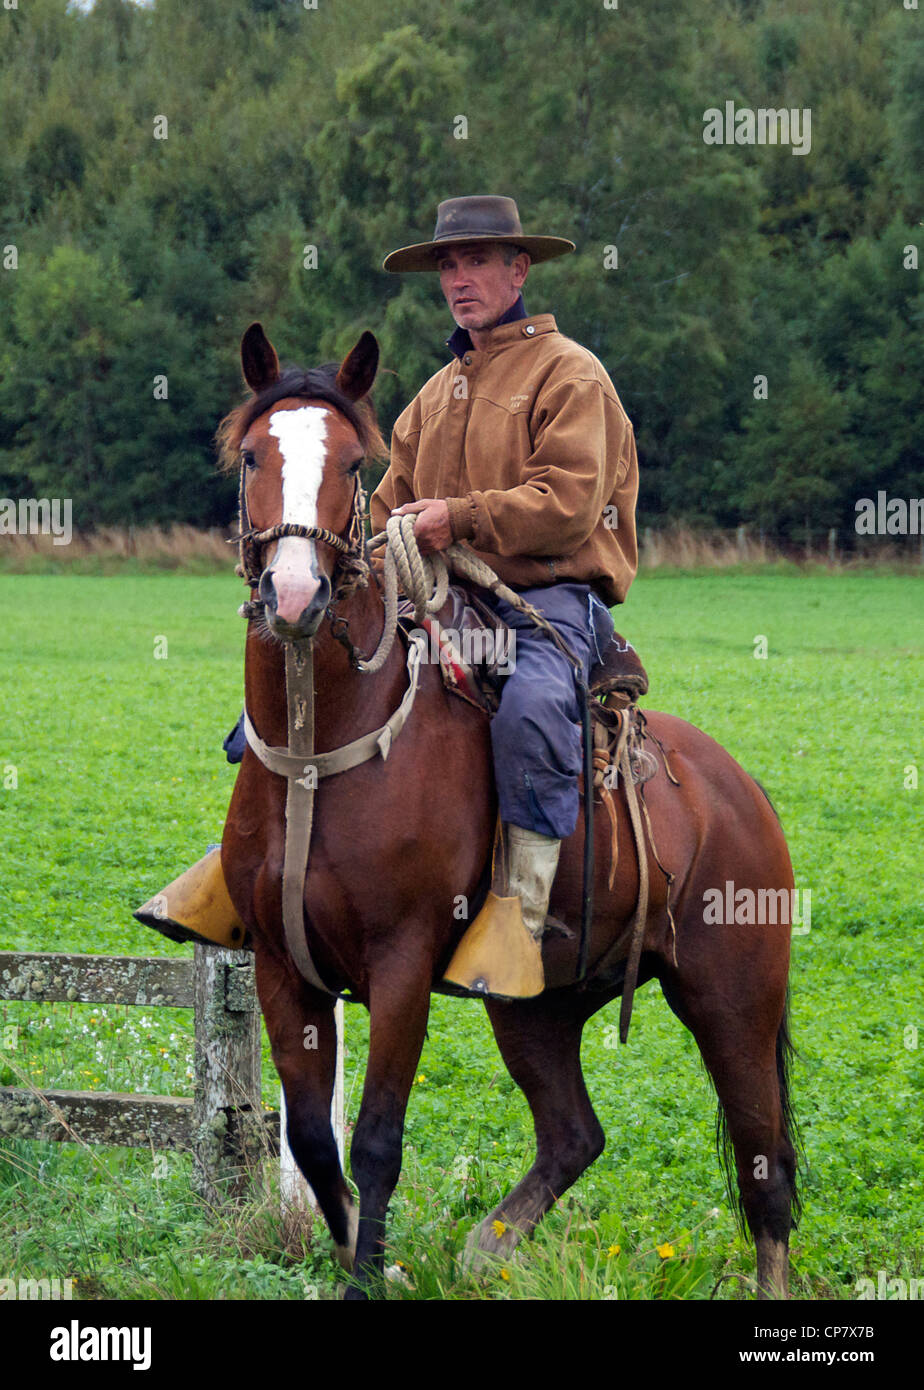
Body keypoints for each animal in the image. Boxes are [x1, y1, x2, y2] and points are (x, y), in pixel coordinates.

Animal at [216, 319, 800, 1295]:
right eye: (255, 453)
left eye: (351, 465)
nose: (296, 596)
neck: (324, 748)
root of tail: (741, 794)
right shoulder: (278, 963)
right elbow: (312, 1143)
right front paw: (360, 1253)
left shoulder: (402, 966)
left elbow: (374, 1141)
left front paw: (370, 1273)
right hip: (534, 1004)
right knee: (574, 1134)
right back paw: (486, 1246)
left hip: (733, 1003)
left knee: (765, 1172)